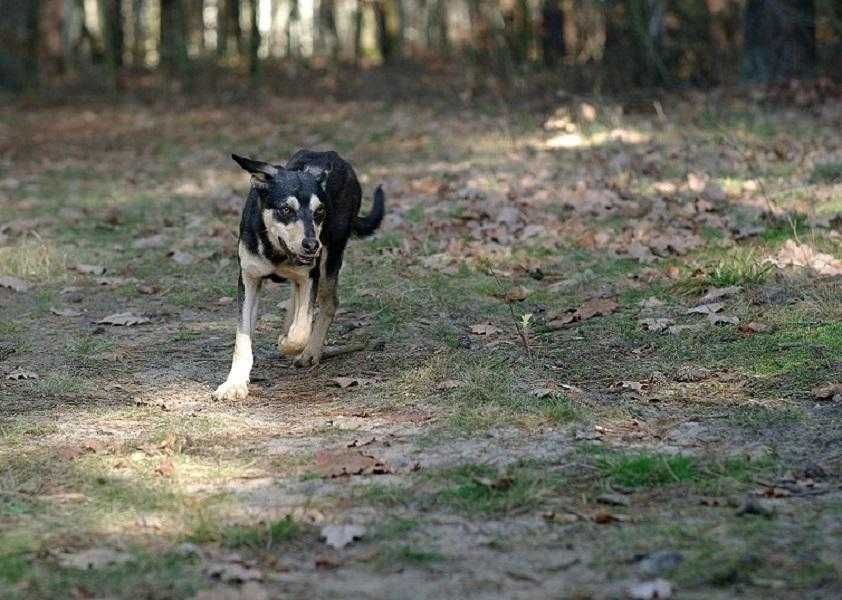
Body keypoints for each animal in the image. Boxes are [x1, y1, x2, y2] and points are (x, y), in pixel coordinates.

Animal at [213, 150, 384, 400]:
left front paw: (288, 343)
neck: (276, 252)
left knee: (328, 303)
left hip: (331, 257)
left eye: (319, 211)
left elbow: (301, 329)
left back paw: (309, 352)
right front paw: (234, 384)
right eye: (286, 210)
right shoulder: (249, 279)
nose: (312, 245)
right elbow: (242, 338)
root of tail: (333, 155)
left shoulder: (310, 276)